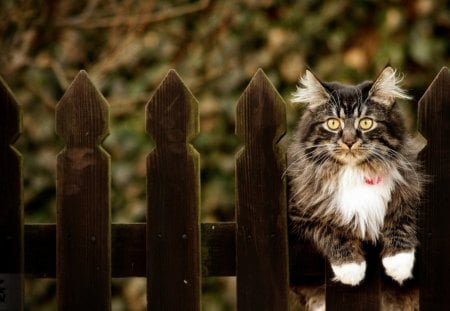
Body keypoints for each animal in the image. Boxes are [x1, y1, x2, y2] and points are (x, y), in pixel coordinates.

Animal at [286, 67, 424, 310]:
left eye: (366, 123)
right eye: (333, 123)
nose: (349, 141)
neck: (355, 173)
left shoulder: (410, 188)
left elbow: (401, 217)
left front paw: (399, 262)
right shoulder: (298, 214)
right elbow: (331, 229)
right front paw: (350, 268)